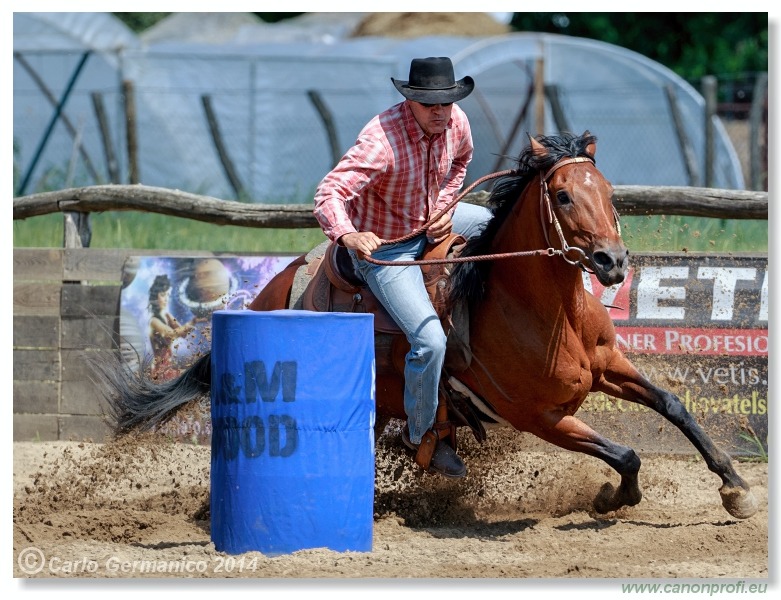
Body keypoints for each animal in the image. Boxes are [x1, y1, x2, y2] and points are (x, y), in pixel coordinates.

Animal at [102, 131, 756, 520]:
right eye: (564, 196)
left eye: (609, 191)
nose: (613, 263)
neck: (540, 311)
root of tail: (271, 294)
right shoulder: (540, 418)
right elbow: (626, 455)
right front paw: (613, 497)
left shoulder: (609, 367)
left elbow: (674, 406)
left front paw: (734, 486)